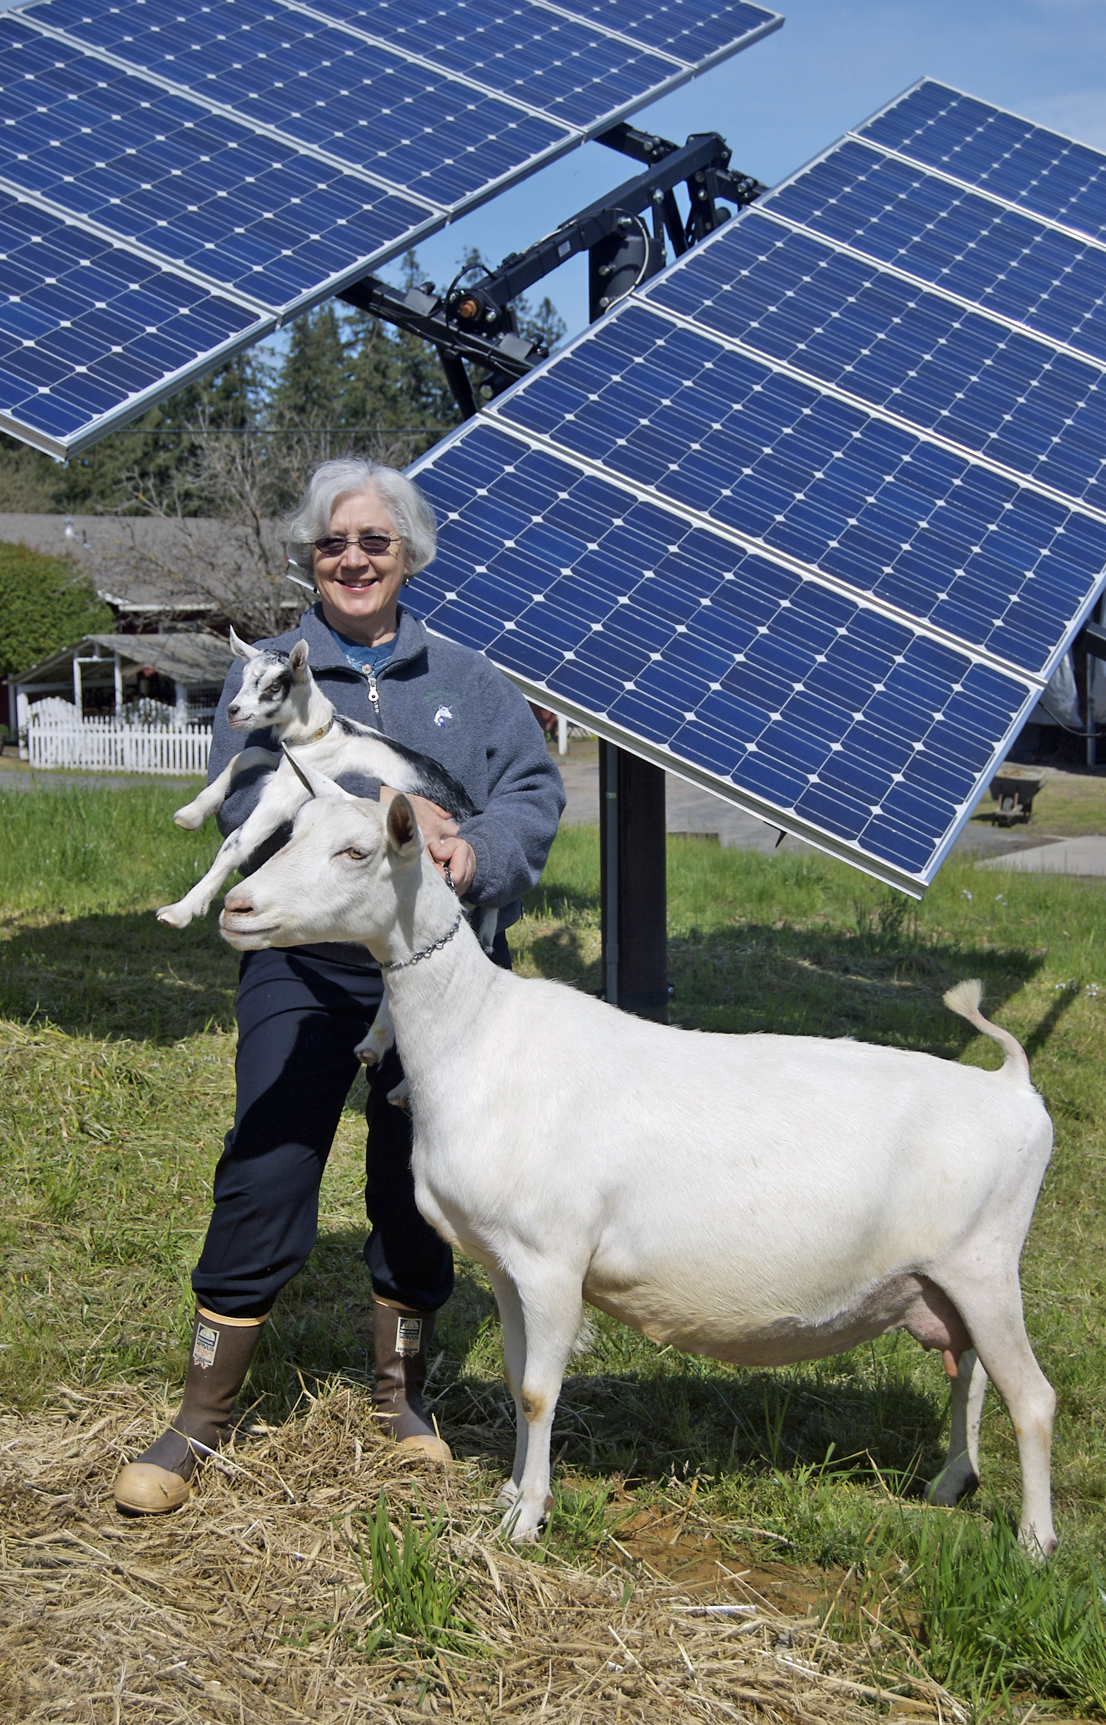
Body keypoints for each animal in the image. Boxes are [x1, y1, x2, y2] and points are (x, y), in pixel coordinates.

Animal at [215, 776, 1049, 1559]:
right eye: (289, 831)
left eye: (356, 852)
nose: (237, 907)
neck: (477, 1033)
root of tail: (1013, 1087)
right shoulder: (505, 1263)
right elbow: (518, 1379)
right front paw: (511, 1491)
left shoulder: (552, 1257)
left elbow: (540, 1391)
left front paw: (526, 1517)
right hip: (947, 1282)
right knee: (971, 1374)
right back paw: (951, 1483)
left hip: (985, 1263)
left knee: (1032, 1398)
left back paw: (1034, 1543)